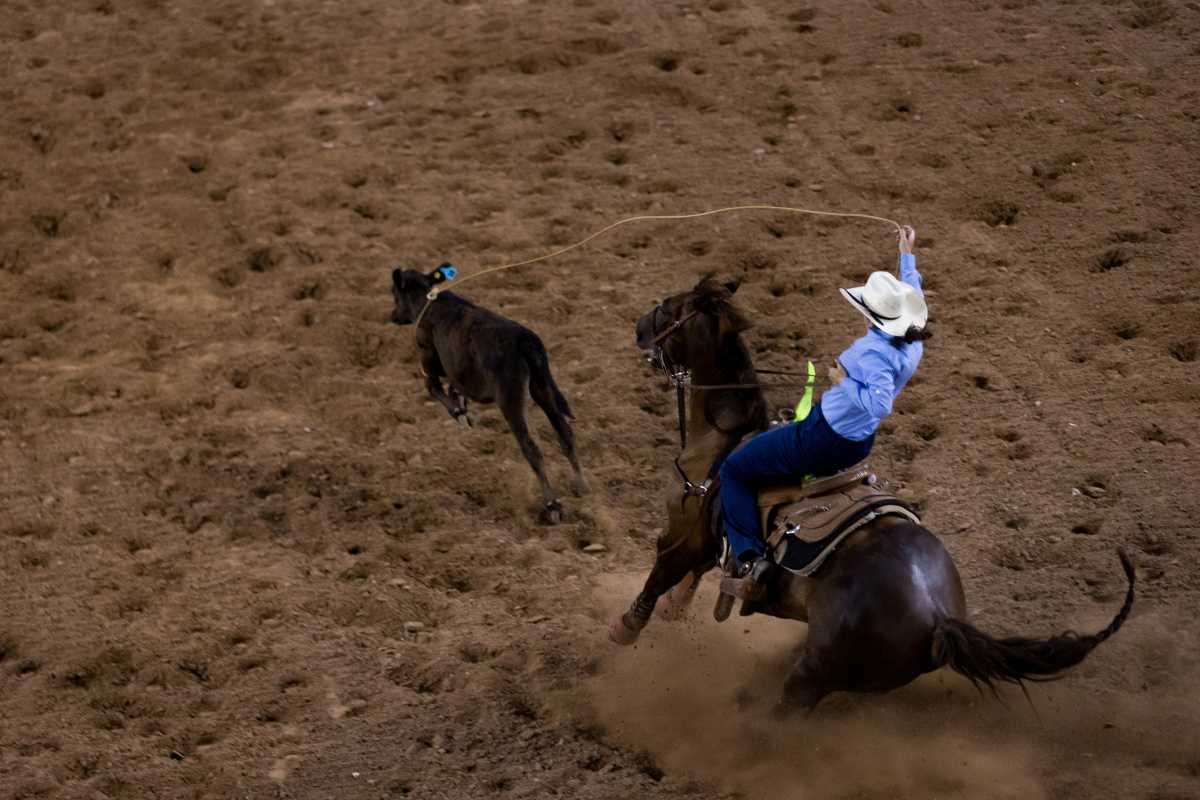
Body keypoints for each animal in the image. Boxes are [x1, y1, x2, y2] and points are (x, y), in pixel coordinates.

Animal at [609, 277, 1132, 714]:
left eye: (668, 307)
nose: (637, 327)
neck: (722, 438)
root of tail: (939, 617)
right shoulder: (706, 543)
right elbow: (686, 581)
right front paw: (675, 611)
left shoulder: (686, 535)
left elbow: (659, 576)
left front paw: (624, 630)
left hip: (814, 675)